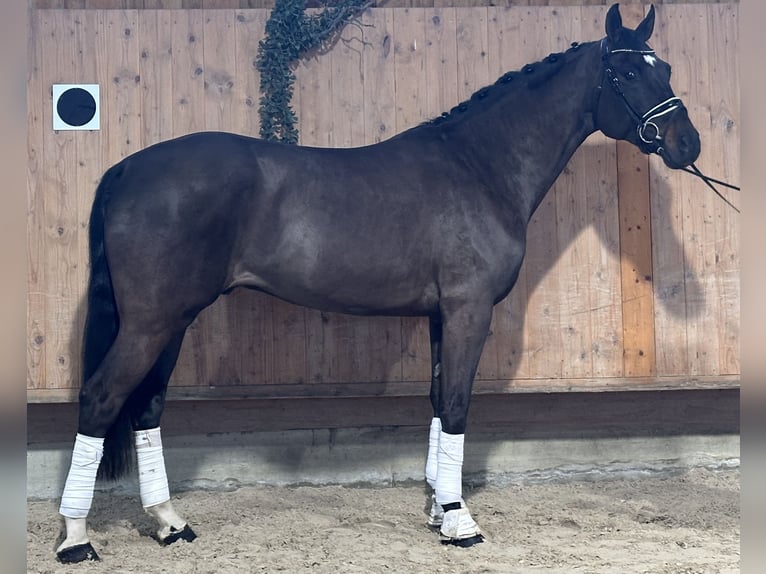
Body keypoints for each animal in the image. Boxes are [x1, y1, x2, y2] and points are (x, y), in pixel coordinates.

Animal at [55, 3, 700, 563]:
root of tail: (126, 168)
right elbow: (459, 405)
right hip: (151, 321)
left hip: (172, 320)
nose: (686, 144)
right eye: (625, 71)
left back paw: (170, 524)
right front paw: (461, 523)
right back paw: (75, 540)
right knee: (101, 398)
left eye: (665, 67)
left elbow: (438, 402)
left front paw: (439, 510)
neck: (479, 167)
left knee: (146, 407)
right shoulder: (469, 311)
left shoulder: (443, 316)